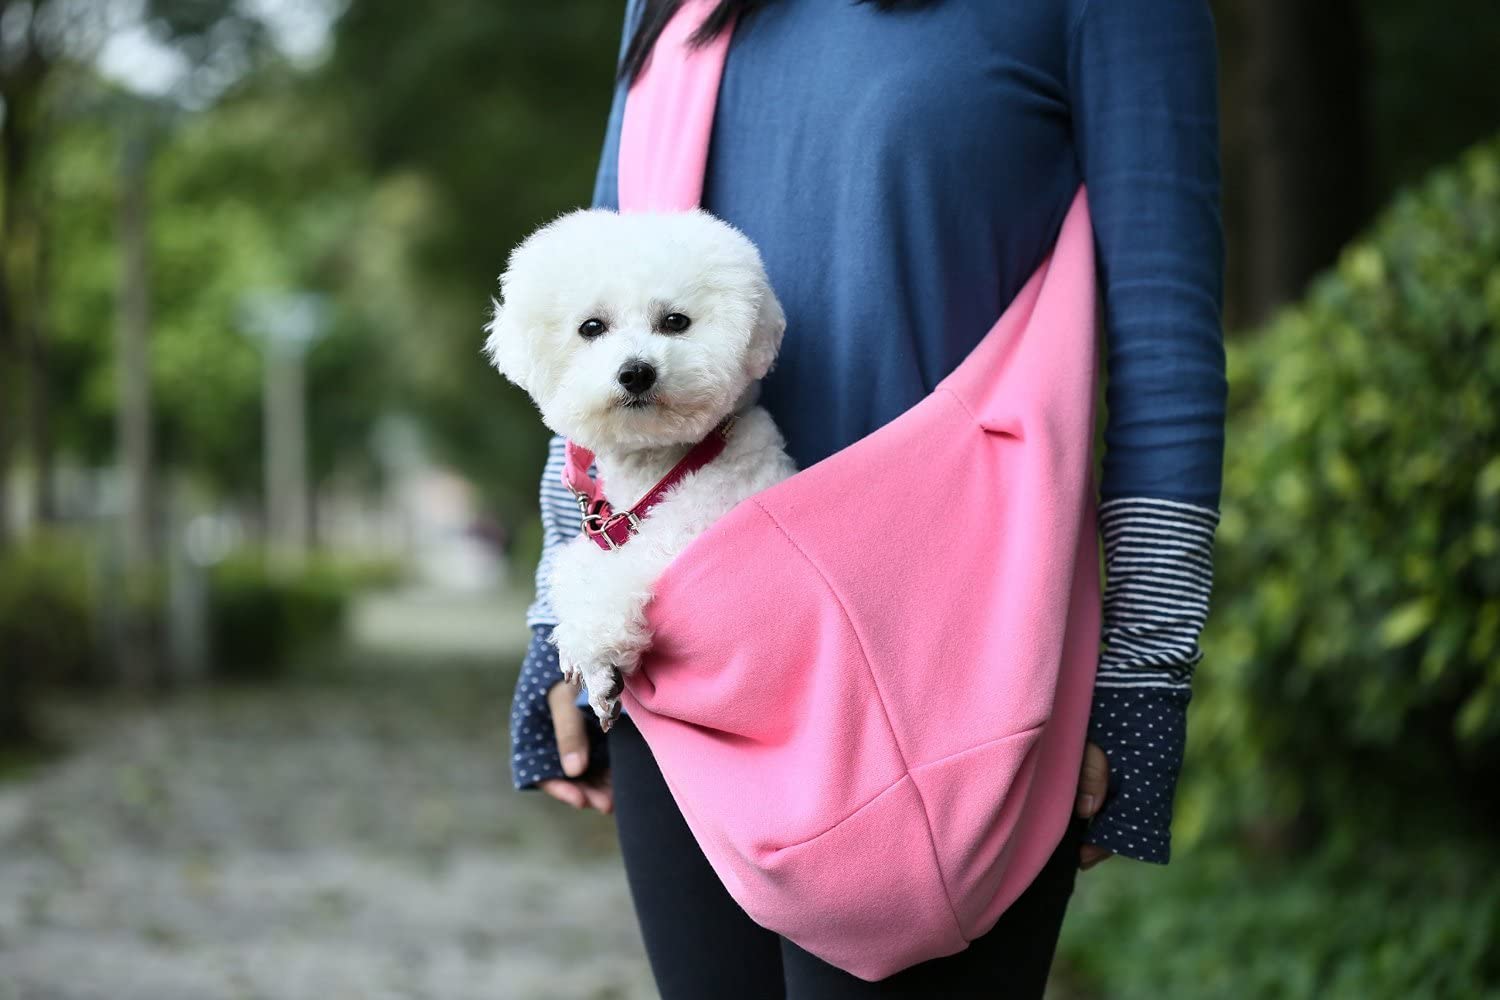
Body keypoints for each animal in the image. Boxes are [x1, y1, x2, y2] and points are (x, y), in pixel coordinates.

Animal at [489, 211, 798, 728]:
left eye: (675, 321)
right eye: (591, 327)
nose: (636, 372)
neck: (661, 468)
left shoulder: (697, 522)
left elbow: (626, 566)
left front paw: (594, 650)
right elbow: (576, 565)